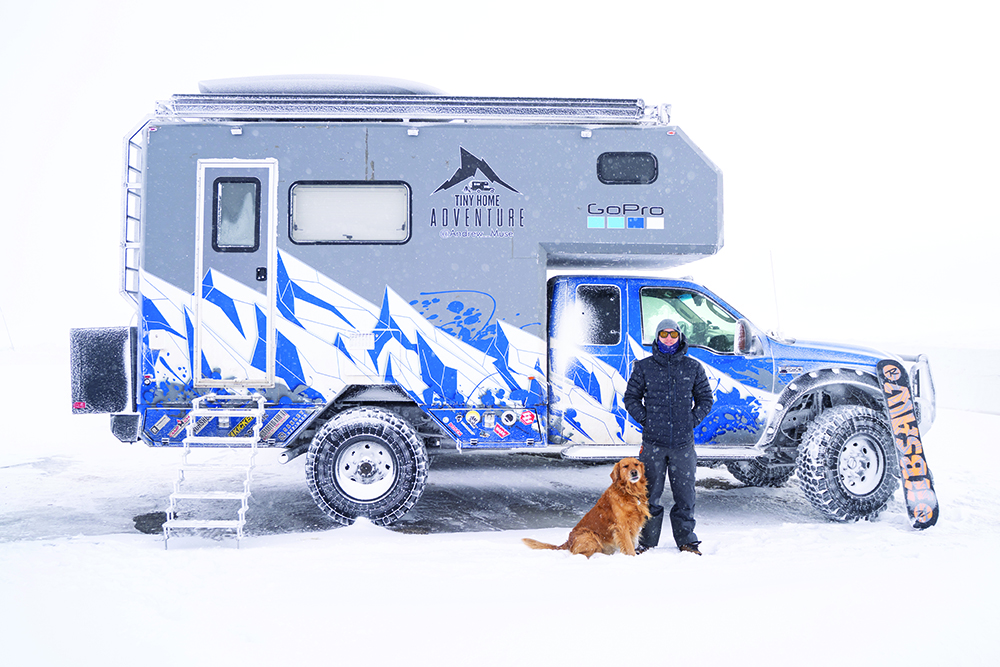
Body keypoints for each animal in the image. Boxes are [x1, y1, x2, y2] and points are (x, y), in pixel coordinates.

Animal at [520, 460, 652, 560]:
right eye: (625, 466)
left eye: (636, 464)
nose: (634, 472)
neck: (630, 492)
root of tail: (568, 541)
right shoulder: (622, 526)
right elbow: (629, 547)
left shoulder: (633, 525)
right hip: (590, 536)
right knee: (580, 555)